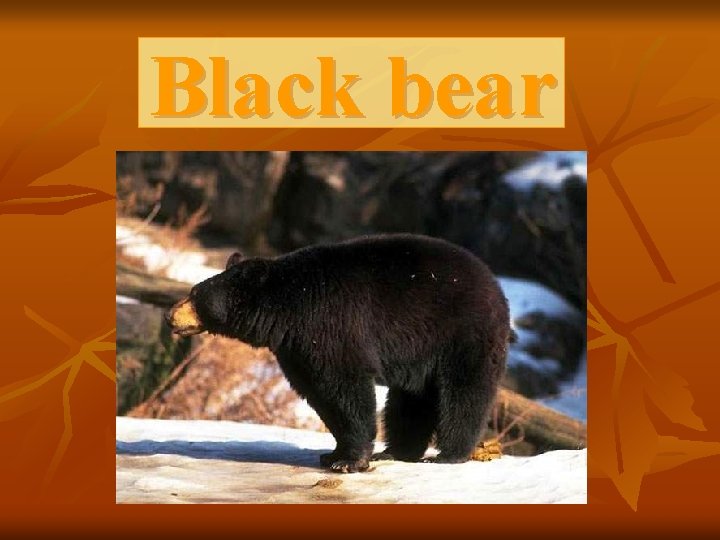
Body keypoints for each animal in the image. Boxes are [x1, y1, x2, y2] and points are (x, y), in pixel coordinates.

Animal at [165, 234, 511, 473]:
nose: (170, 316)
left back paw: (448, 454)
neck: (288, 306)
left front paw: (348, 461)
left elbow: (344, 386)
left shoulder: (329, 325)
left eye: (196, 295)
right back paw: (398, 451)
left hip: (463, 334)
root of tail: (496, 287)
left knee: (464, 393)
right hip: (422, 351)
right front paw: (335, 453)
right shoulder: (296, 346)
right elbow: (319, 392)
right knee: (411, 400)